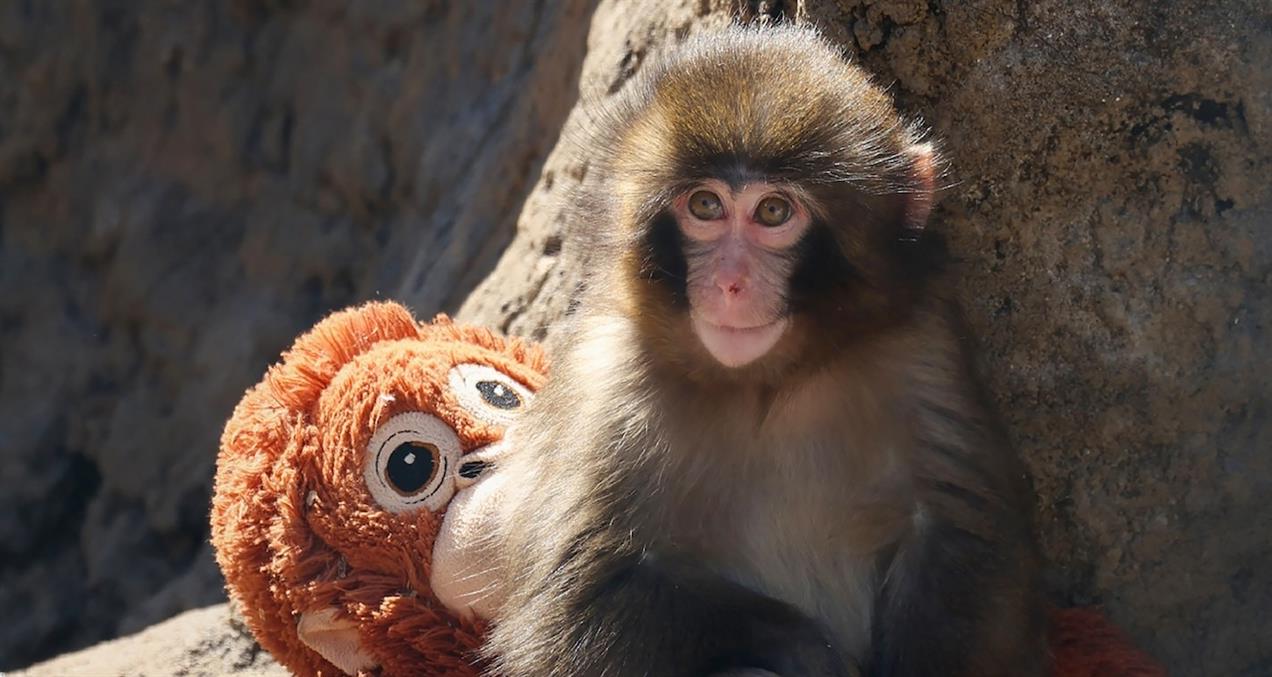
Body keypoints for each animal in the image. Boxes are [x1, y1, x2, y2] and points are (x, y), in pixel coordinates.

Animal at [481, 24, 1048, 677]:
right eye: (705, 206)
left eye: (773, 211)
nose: (731, 282)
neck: (766, 382)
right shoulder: (608, 381)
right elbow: (573, 609)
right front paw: (805, 648)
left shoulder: (922, 346)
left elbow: (964, 539)